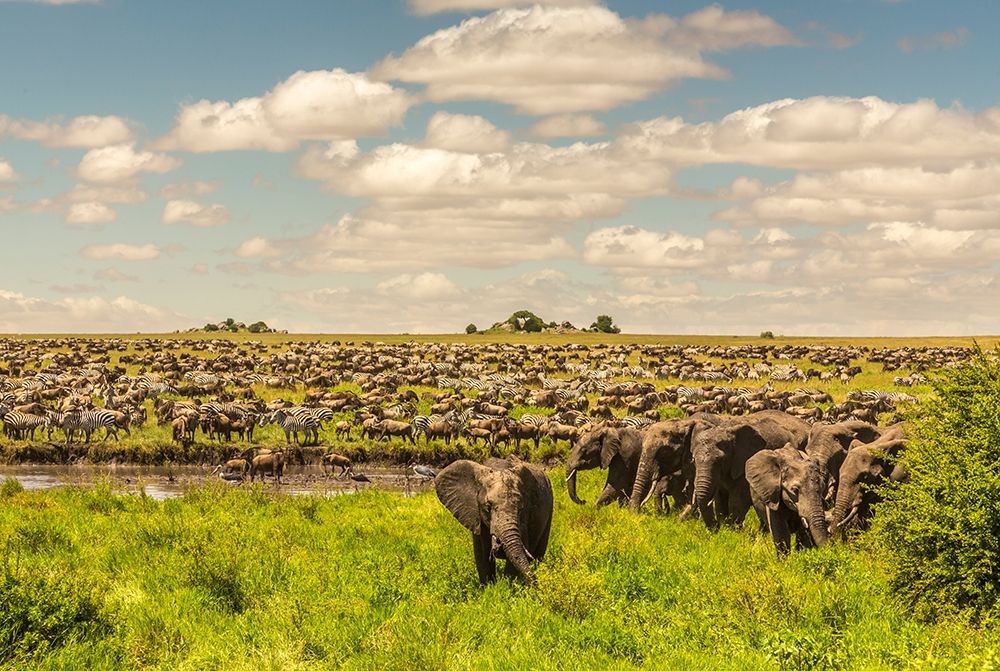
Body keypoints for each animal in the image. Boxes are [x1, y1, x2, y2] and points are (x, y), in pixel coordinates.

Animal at [435, 457, 553, 586]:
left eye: (521, 508)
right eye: (488, 506)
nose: (535, 585)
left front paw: (507, 586)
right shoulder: (477, 517)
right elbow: (481, 555)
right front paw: (490, 588)